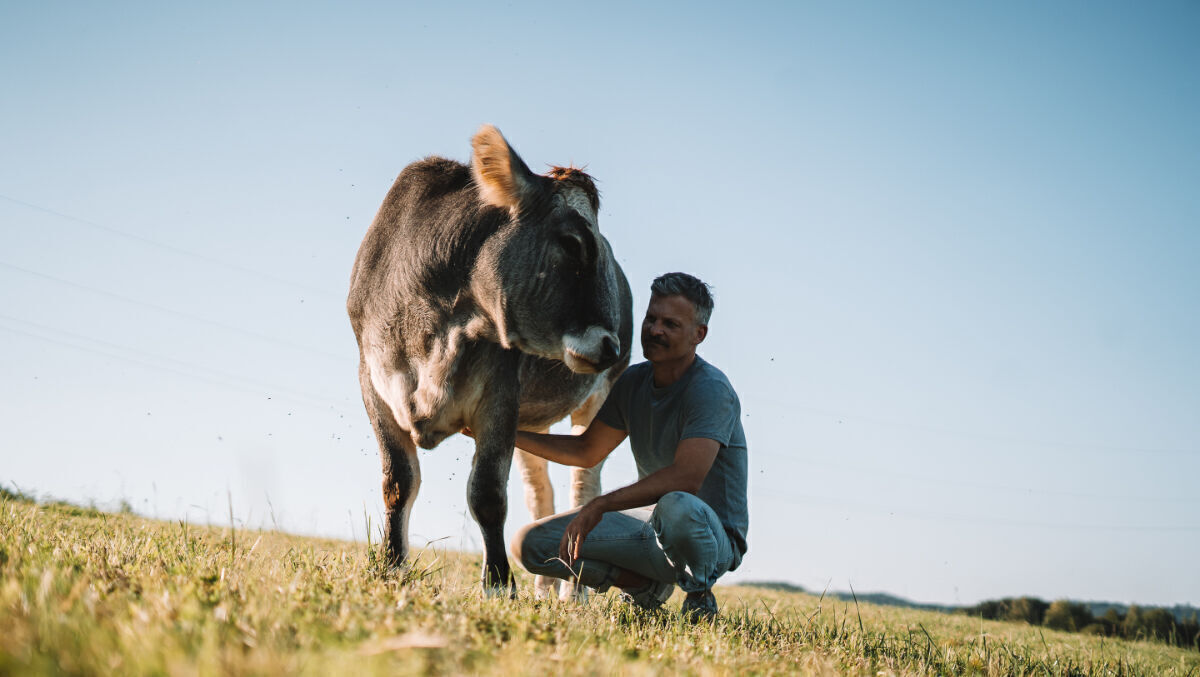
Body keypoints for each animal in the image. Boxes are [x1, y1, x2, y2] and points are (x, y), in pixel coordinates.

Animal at [348, 124, 633, 595]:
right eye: (573, 243)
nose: (611, 346)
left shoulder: (500, 396)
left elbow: (487, 494)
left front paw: (498, 583)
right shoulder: (373, 382)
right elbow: (397, 482)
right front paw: (392, 567)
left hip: (598, 399)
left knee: (583, 489)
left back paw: (572, 594)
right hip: (532, 422)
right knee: (541, 493)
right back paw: (545, 587)